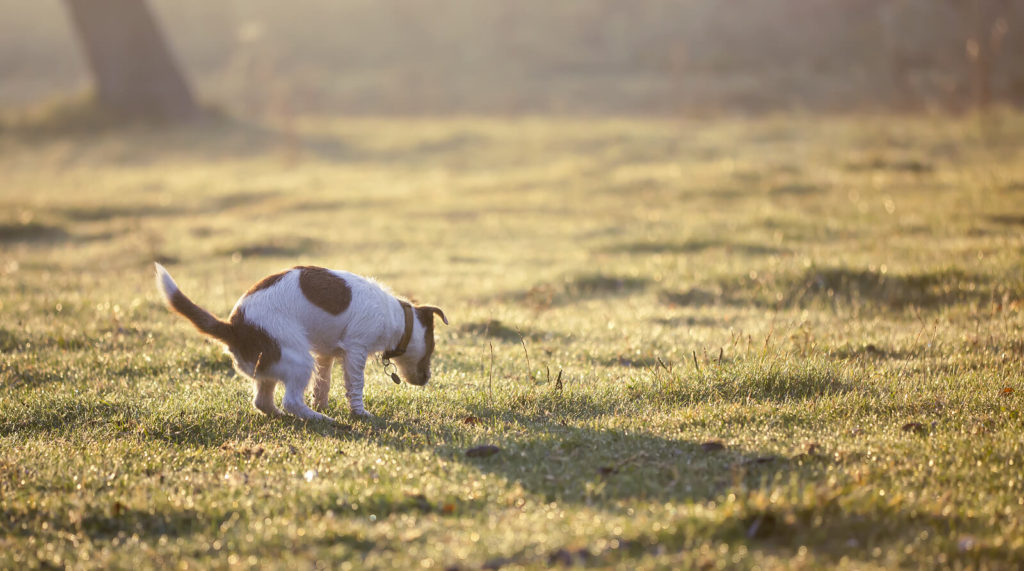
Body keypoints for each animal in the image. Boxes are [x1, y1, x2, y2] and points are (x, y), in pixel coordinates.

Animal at [152, 264, 448, 421]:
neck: (397, 316)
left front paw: (321, 403)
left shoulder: (326, 354)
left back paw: (289, 416)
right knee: (291, 400)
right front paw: (359, 413)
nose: (426, 379)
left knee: (263, 401)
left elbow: (322, 384)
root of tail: (234, 328)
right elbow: (355, 386)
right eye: (431, 350)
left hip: (272, 366)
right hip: (298, 360)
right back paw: (321, 419)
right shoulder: (356, 350)